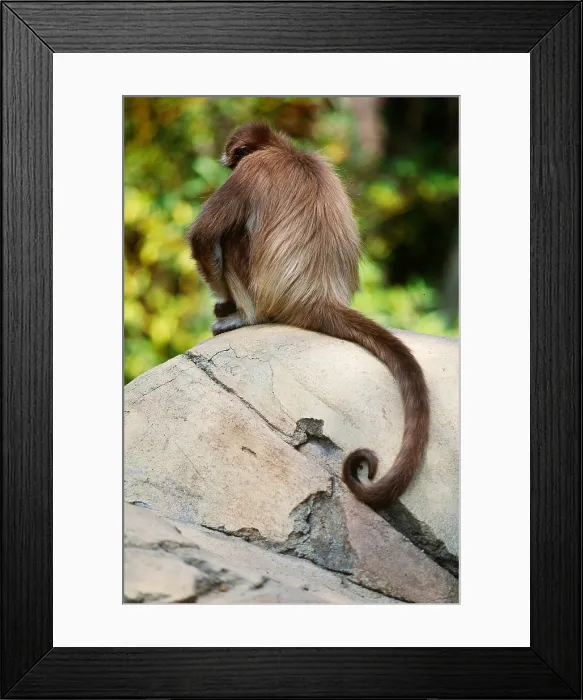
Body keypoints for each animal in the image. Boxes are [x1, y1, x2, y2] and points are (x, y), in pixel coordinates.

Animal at [187, 122, 430, 509]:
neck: (285, 150)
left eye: (234, 161)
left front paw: (225, 304)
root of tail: (318, 298)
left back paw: (244, 316)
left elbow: (203, 235)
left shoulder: (251, 170)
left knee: (230, 236)